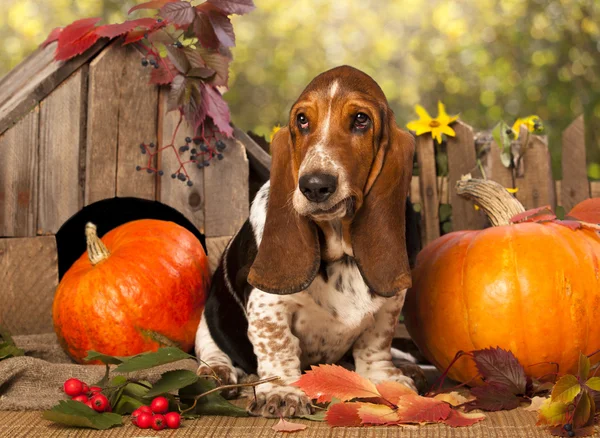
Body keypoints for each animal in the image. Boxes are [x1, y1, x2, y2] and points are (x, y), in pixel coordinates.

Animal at [196, 65, 418, 418]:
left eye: (361, 119)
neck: (340, 250)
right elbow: (279, 348)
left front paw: (383, 379)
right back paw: (218, 372)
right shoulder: (267, 306)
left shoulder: (389, 305)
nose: (314, 185)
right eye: (302, 120)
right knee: (211, 349)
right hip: (209, 318)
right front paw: (283, 391)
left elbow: (376, 343)